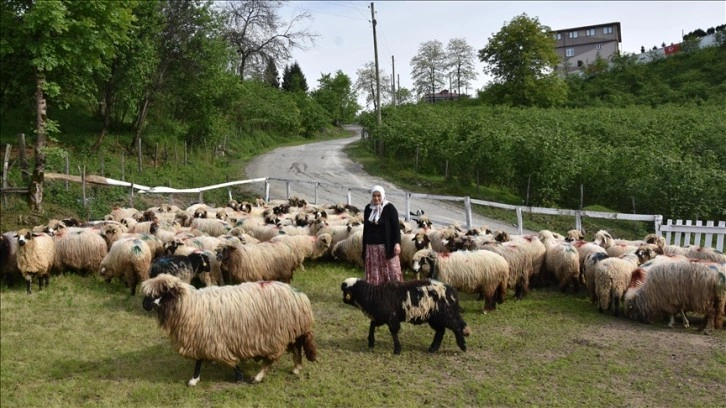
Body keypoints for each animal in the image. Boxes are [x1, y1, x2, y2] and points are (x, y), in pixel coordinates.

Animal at [141, 274, 318, 386]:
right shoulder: (202, 337)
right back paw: (296, 368)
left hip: (275, 334)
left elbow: (226, 359)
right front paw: (194, 379)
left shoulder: (211, 338)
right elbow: (199, 360)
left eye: (159, 293)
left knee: (272, 358)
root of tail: (299, 295)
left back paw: (257, 377)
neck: (190, 305)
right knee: (296, 346)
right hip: (291, 329)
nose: (144, 305)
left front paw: (239, 375)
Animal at [342, 278, 472, 354]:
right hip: (435, 318)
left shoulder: (392, 318)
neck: (374, 295)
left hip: (446, 314)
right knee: (441, 331)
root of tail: (452, 291)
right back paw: (432, 349)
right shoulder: (382, 317)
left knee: (457, 326)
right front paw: (371, 342)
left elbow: (394, 332)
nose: (343, 300)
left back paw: (463, 346)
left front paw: (397, 350)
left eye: (346, 291)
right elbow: (372, 324)